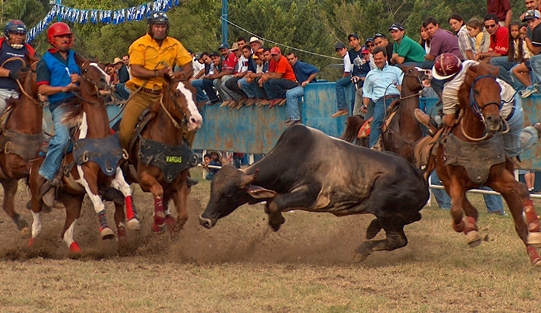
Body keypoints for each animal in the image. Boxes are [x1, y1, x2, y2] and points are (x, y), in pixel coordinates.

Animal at [27, 56, 138, 251]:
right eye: (85, 70)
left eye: (103, 68)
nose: (105, 80)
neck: (97, 137)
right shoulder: (87, 176)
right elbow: (98, 202)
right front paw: (106, 231)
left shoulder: (111, 174)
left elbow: (126, 189)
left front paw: (133, 220)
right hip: (36, 193)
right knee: (37, 225)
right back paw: (30, 246)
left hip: (73, 200)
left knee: (66, 233)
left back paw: (77, 251)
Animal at [125, 72, 201, 234]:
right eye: (176, 93)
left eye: (194, 92)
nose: (196, 120)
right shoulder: (144, 178)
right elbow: (157, 190)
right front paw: (158, 220)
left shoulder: (179, 184)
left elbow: (183, 215)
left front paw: (172, 228)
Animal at [196, 125, 428, 260]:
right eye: (213, 189)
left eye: (229, 194)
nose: (204, 219)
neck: (291, 158)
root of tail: (418, 174)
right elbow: (271, 203)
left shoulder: (308, 194)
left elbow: (274, 204)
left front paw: (276, 222)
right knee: (414, 217)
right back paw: (371, 228)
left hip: (384, 207)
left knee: (398, 240)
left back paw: (361, 251)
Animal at [422, 63, 540, 266]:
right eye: (476, 91)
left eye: (498, 90)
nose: (494, 120)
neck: (474, 139)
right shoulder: (454, 181)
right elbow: (456, 211)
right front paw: (467, 230)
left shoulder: (499, 178)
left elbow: (523, 190)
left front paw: (535, 227)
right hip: (450, 182)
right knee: (469, 209)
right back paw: (471, 230)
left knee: (518, 223)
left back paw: (534, 254)